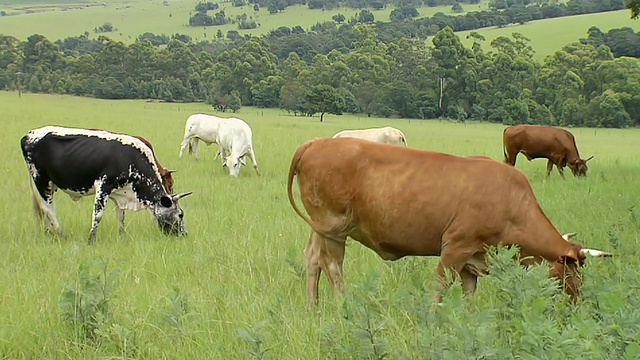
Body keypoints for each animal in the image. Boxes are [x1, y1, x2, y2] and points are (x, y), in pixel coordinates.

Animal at [21, 125, 192, 243]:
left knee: (44, 210)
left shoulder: (120, 193)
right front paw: (91, 240)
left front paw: (122, 237)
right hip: (41, 181)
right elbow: (98, 215)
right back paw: (61, 234)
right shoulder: (103, 186)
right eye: (181, 214)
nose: (184, 235)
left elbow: (121, 217)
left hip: (50, 184)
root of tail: (29, 134)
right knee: (48, 209)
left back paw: (49, 233)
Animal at [286, 137, 608, 306]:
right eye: (571, 276)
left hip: (319, 227)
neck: (512, 205)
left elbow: (469, 298)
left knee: (312, 259)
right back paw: (344, 305)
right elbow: (439, 290)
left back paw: (313, 307)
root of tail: (317, 142)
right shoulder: (455, 248)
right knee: (332, 265)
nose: (575, 304)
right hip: (333, 227)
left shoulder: (472, 262)